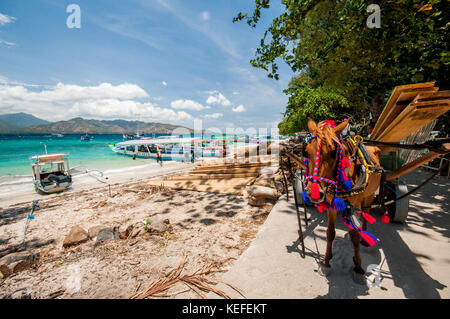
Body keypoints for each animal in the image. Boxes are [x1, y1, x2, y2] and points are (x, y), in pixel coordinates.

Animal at [302, 119, 380, 276]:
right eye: (306, 152)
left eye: (334, 152)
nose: (314, 193)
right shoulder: (331, 203)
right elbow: (330, 232)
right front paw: (326, 261)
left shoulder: (355, 203)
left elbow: (355, 234)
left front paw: (358, 266)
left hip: (369, 195)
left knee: (366, 211)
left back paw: (365, 235)